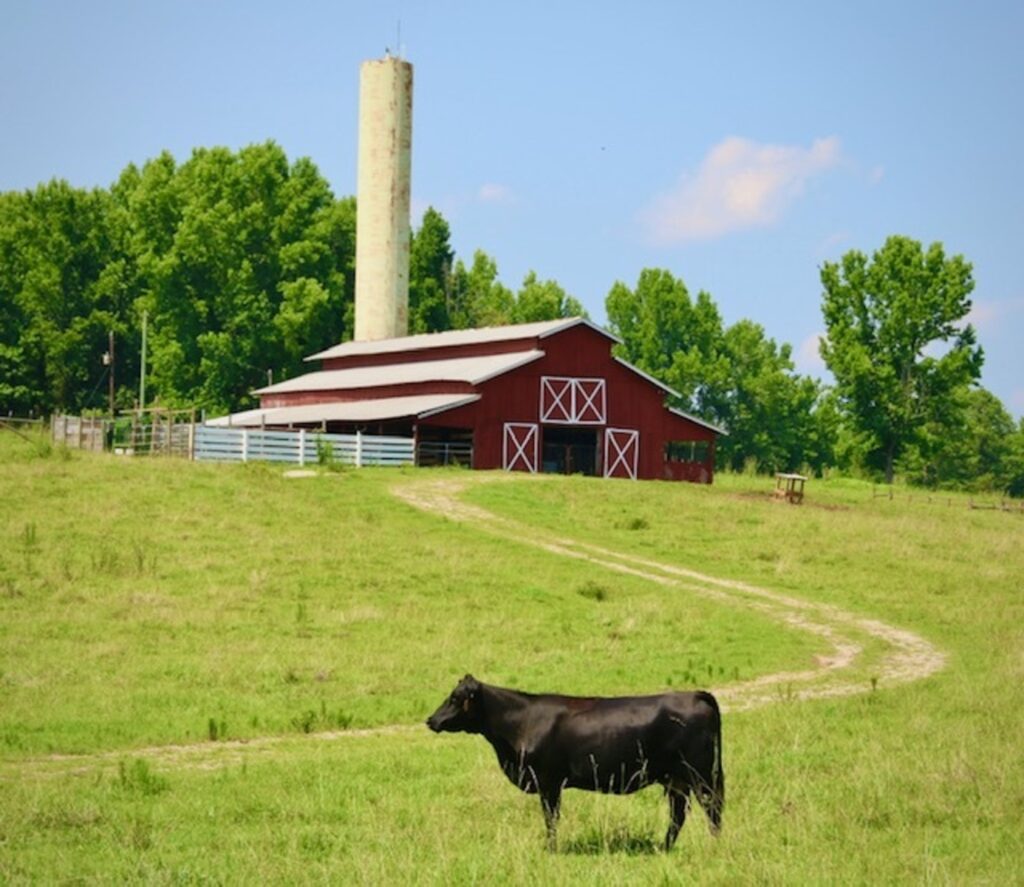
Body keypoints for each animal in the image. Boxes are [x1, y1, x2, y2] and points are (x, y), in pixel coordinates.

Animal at [423, 676, 720, 848]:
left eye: (455, 698)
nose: (431, 719)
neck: (522, 721)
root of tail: (694, 694)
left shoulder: (548, 782)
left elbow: (551, 818)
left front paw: (551, 849)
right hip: (676, 779)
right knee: (678, 814)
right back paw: (664, 847)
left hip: (701, 773)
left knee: (712, 808)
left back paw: (713, 845)